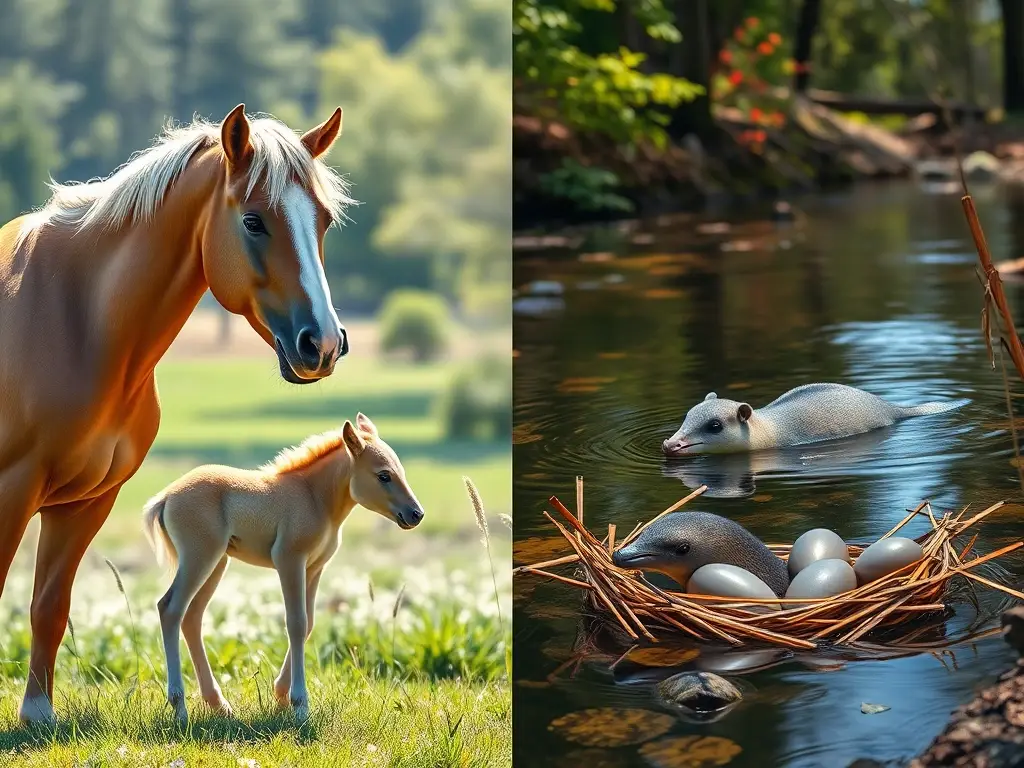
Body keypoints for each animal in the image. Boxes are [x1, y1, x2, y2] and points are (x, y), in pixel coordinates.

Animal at [0, 103, 354, 725]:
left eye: (325, 221)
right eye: (254, 221)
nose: (324, 344)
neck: (73, 321)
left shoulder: (86, 502)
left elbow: (50, 605)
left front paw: (37, 713)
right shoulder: (11, 488)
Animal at [142, 413, 424, 724]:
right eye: (383, 475)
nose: (416, 514)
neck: (314, 497)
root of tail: (166, 497)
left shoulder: (314, 568)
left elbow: (309, 622)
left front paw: (280, 697)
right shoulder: (290, 560)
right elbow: (296, 623)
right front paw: (299, 705)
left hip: (217, 562)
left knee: (192, 617)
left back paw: (219, 705)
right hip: (199, 557)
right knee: (170, 609)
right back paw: (180, 708)